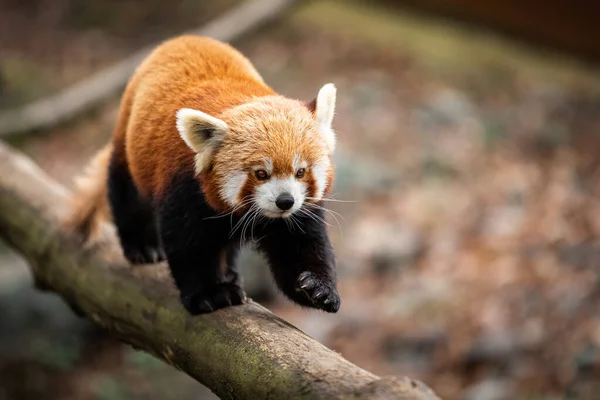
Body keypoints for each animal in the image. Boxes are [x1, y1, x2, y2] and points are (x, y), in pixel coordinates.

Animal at [64, 35, 342, 316]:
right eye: (261, 173)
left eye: (301, 171)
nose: (285, 201)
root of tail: (183, 38)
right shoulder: (184, 185)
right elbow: (188, 244)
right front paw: (210, 293)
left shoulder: (296, 215)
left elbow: (299, 244)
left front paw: (317, 289)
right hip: (130, 144)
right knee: (128, 194)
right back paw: (142, 247)